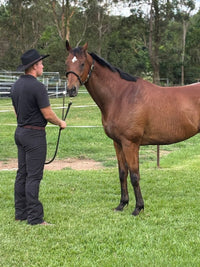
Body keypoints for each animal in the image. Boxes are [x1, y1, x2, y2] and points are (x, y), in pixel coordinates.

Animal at [64, 41, 200, 218]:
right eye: (66, 62)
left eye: (82, 63)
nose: (71, 90)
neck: (121, 96)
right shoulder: (118, 143)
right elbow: (122, 173)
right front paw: (122, 204)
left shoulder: (131, 144)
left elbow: (135, 176)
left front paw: (138, 208)